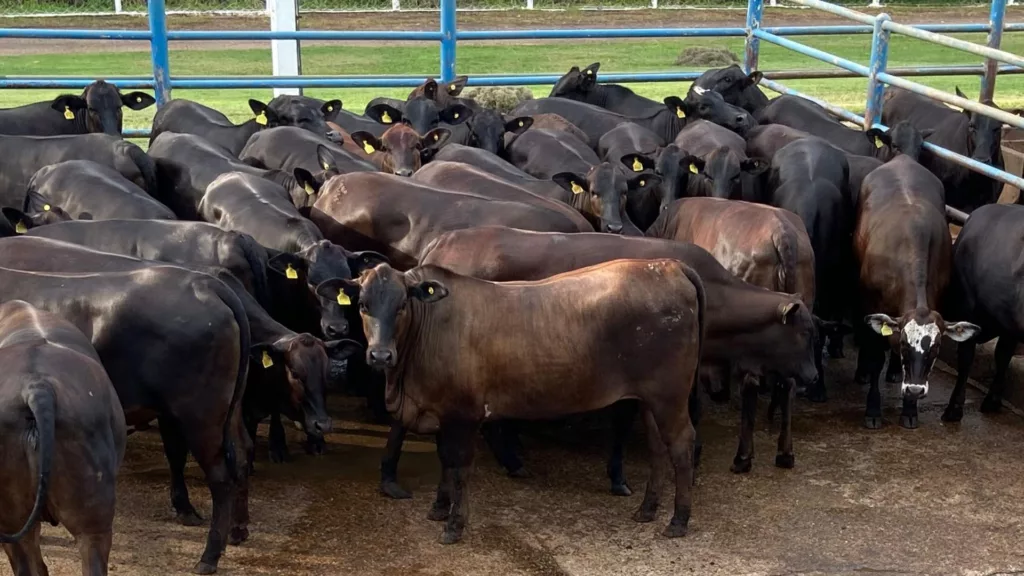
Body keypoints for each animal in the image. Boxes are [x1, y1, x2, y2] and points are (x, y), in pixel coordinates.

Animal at [321, 260, 704, 541]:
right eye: (362, 305)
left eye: (402, 305)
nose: (380, 355)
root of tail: (667, 265)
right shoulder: (443, 411)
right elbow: (445, 462)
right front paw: (439, 508)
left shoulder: (464, 413)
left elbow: (459, 467)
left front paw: (454, 525)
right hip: (650, 399)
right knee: (658, 448)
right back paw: (647, 510)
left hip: (670, 395)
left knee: (681, 444)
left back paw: (679, 520)